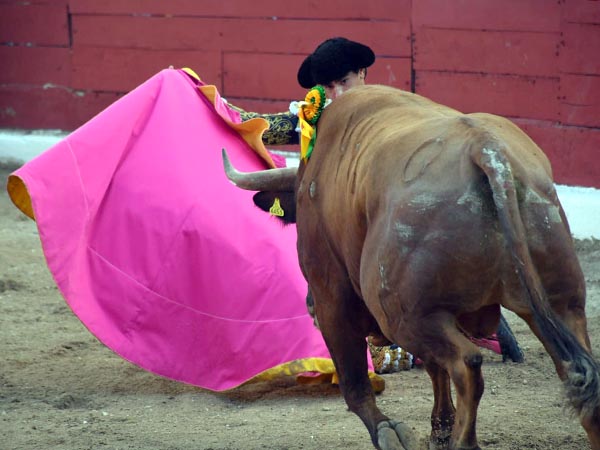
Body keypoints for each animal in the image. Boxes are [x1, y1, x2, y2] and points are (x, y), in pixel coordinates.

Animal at [221, 85, 600, 450]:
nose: (308, 305)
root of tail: (486, 150)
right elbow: (434, 368)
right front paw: (440, 429)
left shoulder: (333, 296)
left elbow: (355, 383)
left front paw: (391, 432)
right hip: (560, 304)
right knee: (579, 377)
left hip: (403, 314)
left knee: (467, 364)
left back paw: (463, 442)